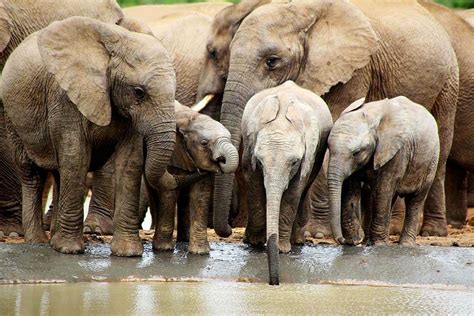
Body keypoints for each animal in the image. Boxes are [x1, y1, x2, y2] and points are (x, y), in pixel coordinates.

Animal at [2, 16, 176, 256]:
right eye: (139, 92)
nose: (174, 179)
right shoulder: (64, 97)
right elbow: (77, 157)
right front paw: (69, 250)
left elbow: (130, 163)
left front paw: (128, 253)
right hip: (13, 117)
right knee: (32, 173)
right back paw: (37, 241)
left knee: (59, 172)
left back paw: (53, 237)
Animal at [143, 101, 239, 254]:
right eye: (204, 143)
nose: (220, 160)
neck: (191, 119)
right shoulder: (172, 155)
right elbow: (169, 194)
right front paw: (163, 249)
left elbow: (200, 195)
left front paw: (200, 252)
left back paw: (184, 240)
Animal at [243, 81, 332, 284]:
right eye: (260, 161)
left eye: (294, 162)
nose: (274, 283)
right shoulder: (249, 148)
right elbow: (253, 185)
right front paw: (256, 243)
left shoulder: (308, 155)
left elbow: (293, 193)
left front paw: (283, 249)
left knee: (304, 188)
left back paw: (297, 241)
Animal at [326, 96, 440, 247]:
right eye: (328, 146)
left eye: (356, 152)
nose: (342, 240)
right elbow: (351, 188)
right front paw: (354, 240)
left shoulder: (398, 151)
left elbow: (384, 188)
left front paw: (379, 244)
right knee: (390, 197)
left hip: (431, 160)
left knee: (415, 199)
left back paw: (405, 244)